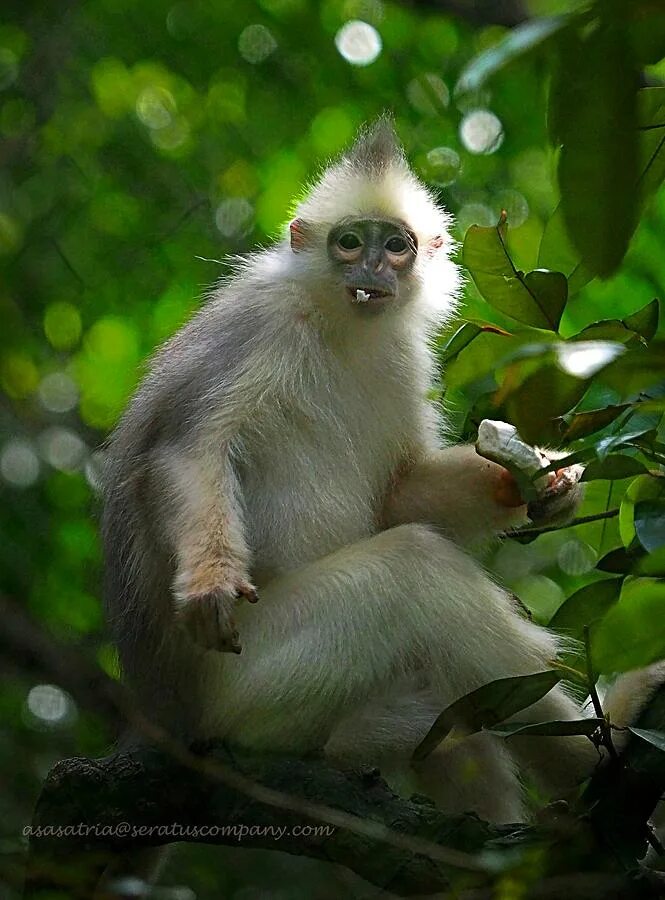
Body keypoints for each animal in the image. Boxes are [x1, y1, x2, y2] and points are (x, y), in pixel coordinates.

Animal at [105, 121, 660, 828]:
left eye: (395, 246)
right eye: (349, 242)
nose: (370, 268)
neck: (341, 328)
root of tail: (169, 718)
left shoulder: (402, 357)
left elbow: (400, 493)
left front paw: (541, 483)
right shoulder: (255, 327)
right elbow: (186, 452)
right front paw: (210, 583)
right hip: (251, 693)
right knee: (415, 573)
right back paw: (599, 768)